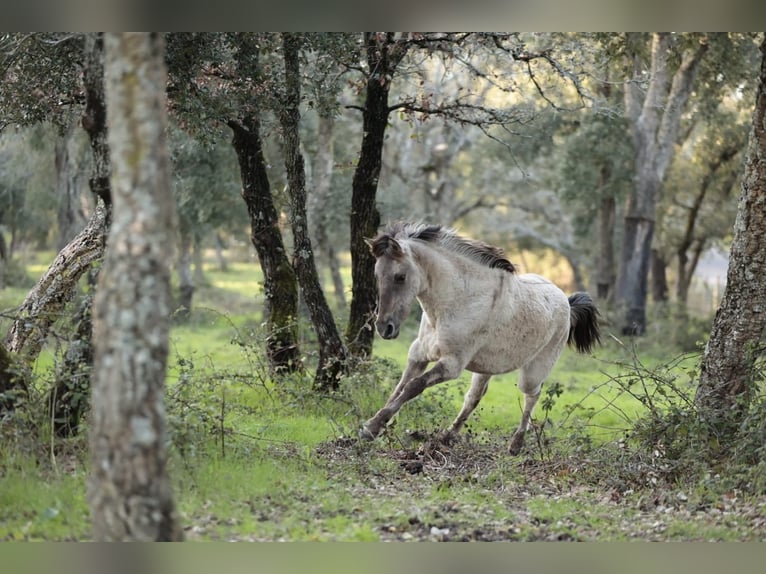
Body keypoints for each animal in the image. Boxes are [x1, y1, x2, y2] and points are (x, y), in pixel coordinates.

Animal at [360, 222, 601, 455]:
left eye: (400, 277)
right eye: (377, 275)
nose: (385, 328)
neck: (459, 299)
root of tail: (566, 302)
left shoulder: (452, 364)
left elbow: (413, 386)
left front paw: (372, 428)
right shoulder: (418, 354)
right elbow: (400, 387)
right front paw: (375, 426)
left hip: (533, 372)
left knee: (532, 396)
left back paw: (515, 445)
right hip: (487, 368)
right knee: (474, 397)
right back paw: (446, 438)